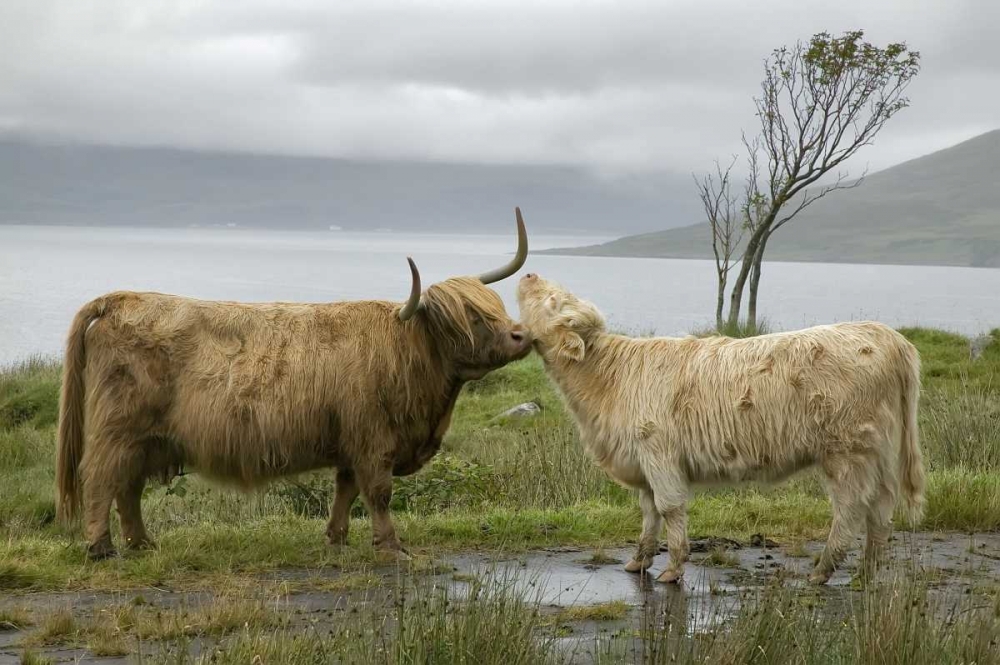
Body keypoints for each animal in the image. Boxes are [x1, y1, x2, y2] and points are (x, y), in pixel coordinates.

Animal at [520, 270, 924, 580]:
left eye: (553, 299)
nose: (529, 274)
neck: (608, 378)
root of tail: (887, 335)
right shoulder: (642, 462)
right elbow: (649, 513)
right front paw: (638, 562)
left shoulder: (658, 453)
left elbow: (669, 509)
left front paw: (673, 569)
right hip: (877, 452)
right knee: (881, 509)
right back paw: (867, 572)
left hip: (846, 451)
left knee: (852, 508)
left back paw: (822, 571)